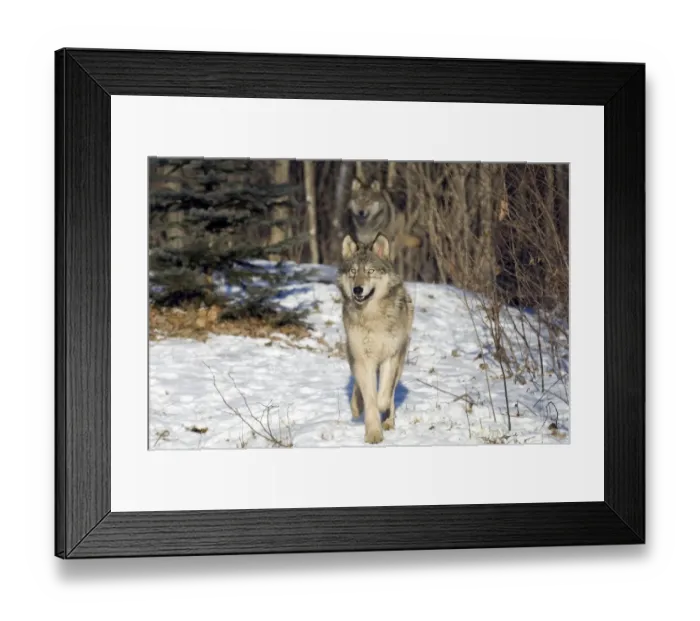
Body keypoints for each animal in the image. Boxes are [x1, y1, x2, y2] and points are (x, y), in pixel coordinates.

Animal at [336, 232, 415, 444]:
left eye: (370, 271)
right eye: (353, 271)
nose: (357, 289)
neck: (372, 317)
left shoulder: (390, 357)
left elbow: (383, 396)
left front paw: (382, 411)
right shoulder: (364, 360)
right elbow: (369, 397)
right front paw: (373, 433)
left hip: (400, 361)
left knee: (392, 392)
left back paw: (389, 421)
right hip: (353, 355)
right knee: (358, 385)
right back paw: (357, 406)